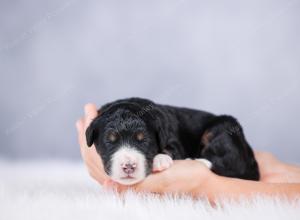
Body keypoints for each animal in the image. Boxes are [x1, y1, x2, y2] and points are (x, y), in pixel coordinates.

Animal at [85, 97, 258, 185]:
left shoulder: (173, 140)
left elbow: (170, 150)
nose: (129, 166)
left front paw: (160, 160)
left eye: (144, 140)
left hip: (223, 129)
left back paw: (198, 161)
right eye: (110, 140)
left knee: (230, 164)